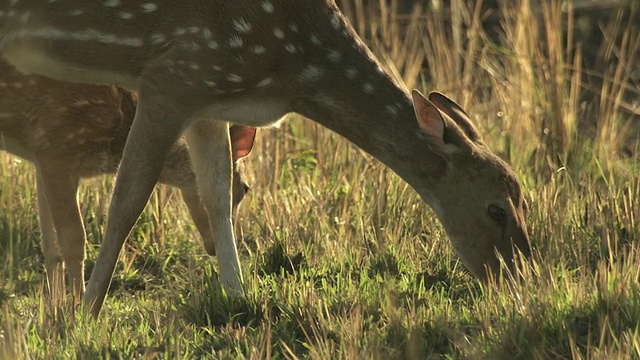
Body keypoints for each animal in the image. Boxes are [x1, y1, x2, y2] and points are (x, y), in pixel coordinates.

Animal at [0, 60, 255, 298]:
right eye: (245, 188)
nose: (213, 247)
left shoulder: (42, 157)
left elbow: (51, 246)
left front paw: (55, 309)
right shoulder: (58, 146)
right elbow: (74, 240)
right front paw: (75, 306)